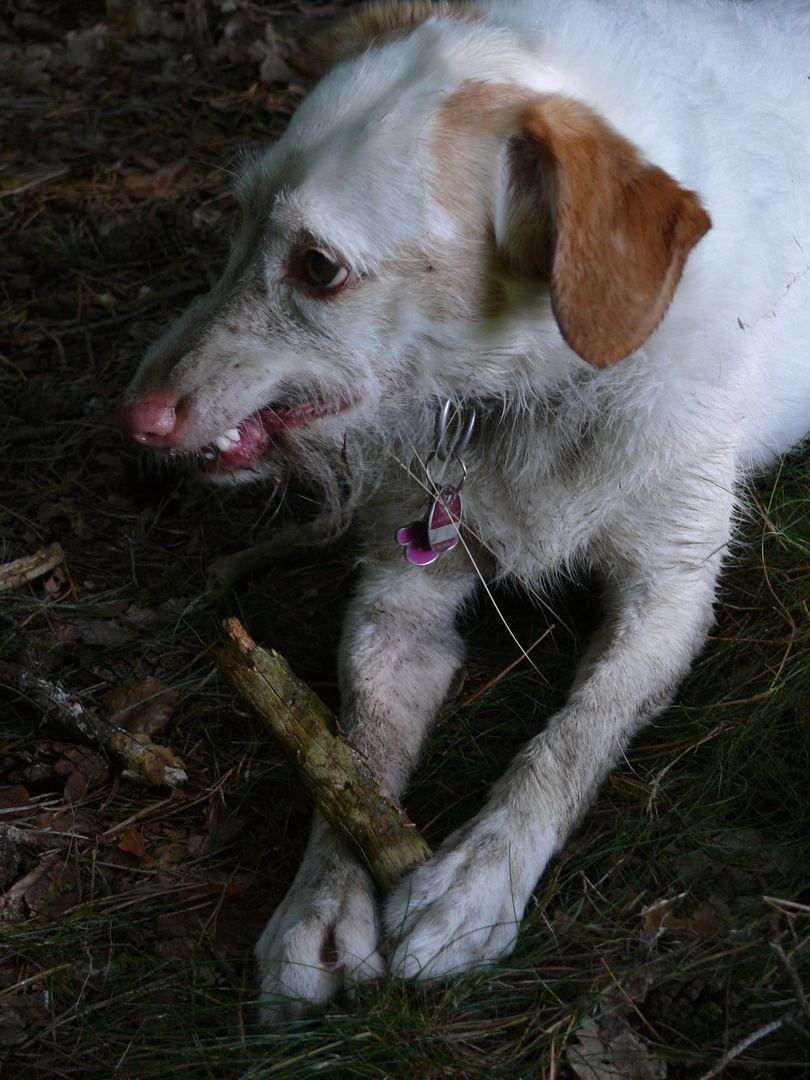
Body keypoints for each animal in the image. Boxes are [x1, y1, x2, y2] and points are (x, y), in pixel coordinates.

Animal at [118, 0, 810, 1019]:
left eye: (319, 266)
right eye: (237, 218)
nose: (135, 420)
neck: (524, 394)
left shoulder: (670, 593)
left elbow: (572, 738)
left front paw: (476, 882)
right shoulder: (397, 605)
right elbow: (356, 755)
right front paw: (319, 911)